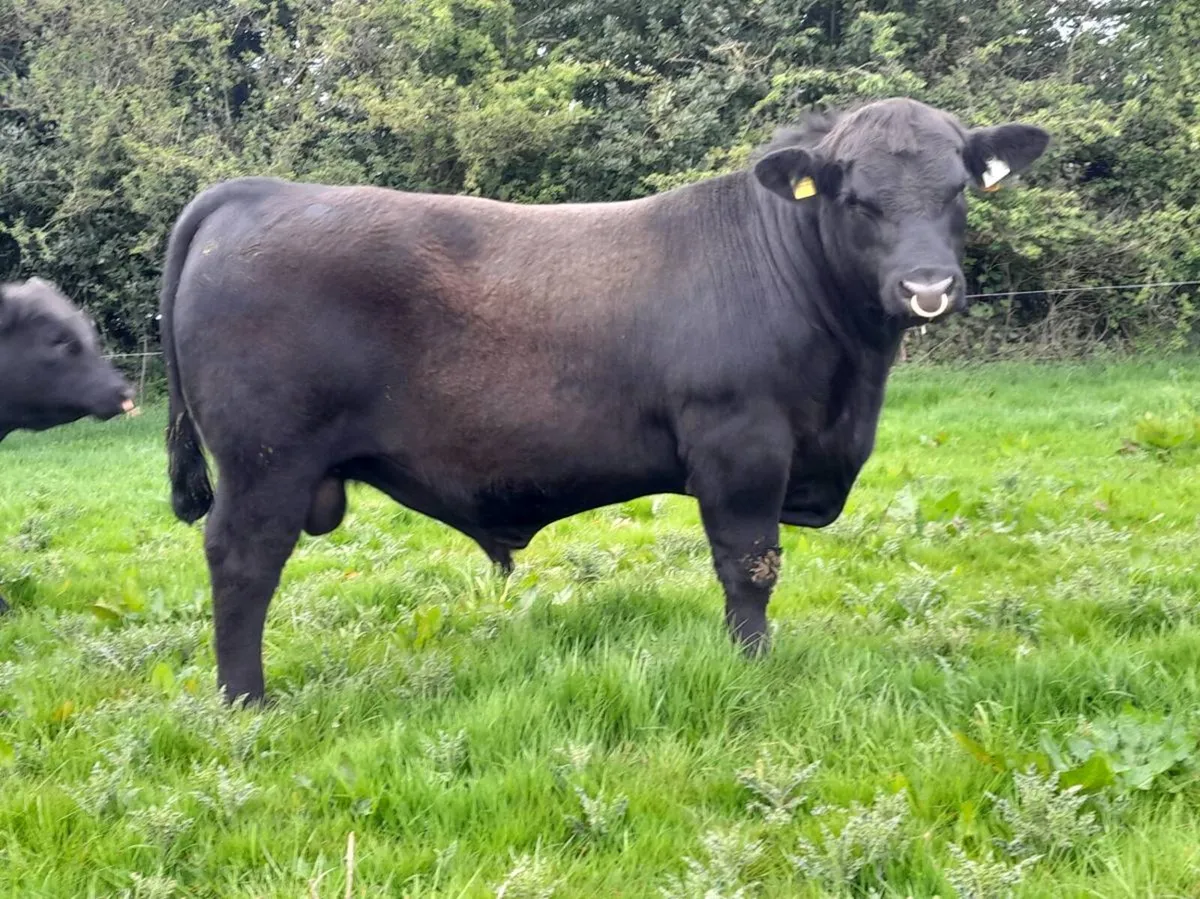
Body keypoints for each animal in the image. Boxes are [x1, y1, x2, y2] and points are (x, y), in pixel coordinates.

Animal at [160, 97, 1049, 703]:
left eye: (957, 192)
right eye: (856, 198)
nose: (928, 287)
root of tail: (252, 192)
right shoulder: (742, 445)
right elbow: (750, 566)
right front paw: (754, 665)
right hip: (265, 461)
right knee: (242, 560)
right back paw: (247, 700)